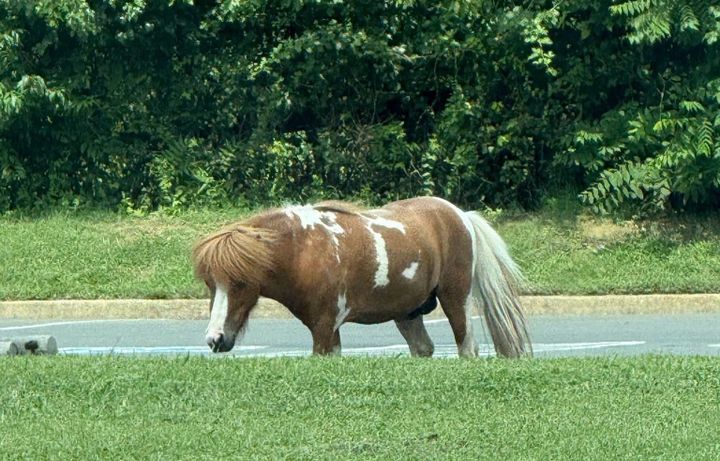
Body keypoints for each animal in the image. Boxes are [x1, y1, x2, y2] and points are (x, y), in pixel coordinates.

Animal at [192, 196, 532, 358]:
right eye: (210, 284)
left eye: (239, 283)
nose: (215, 339)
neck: (303, 249)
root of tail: (461, 215)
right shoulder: (329, 331)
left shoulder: (324, 327)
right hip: (408, 313)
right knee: (423, 349)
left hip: (455, 300)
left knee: (467, 348)